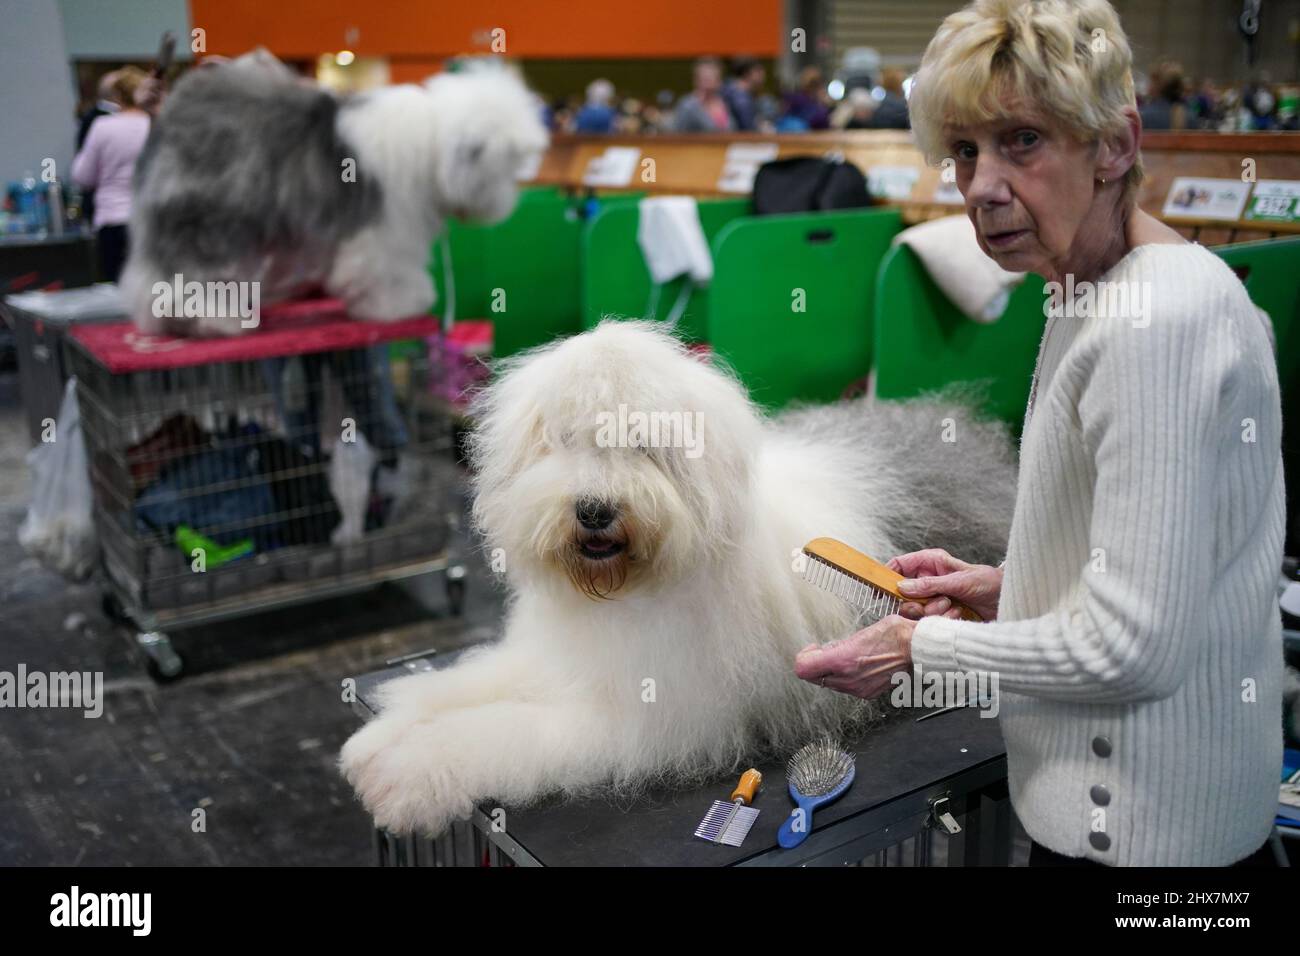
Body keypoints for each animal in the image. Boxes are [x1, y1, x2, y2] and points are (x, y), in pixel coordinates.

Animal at [122, 52, 548, 338]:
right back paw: (212, 320)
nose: (510, 200)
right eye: (511, 162)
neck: (432, 141)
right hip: (209, 217)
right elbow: (383, 268)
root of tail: (174, 110)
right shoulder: (385, 227)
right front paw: (399, 304)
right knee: (189, 271)